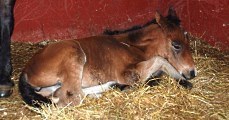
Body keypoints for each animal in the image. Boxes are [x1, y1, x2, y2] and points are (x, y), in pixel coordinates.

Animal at [18, 8, 196, 108]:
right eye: (176, 45)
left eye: (188, 40)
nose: (192, 72)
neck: (130, 45)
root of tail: (26, 70)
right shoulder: (128, 74)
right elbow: (161, 60)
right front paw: (183, 80)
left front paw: (182, 80)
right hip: (74, 53)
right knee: (70, 96)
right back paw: (113, 85)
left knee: (57, 94)